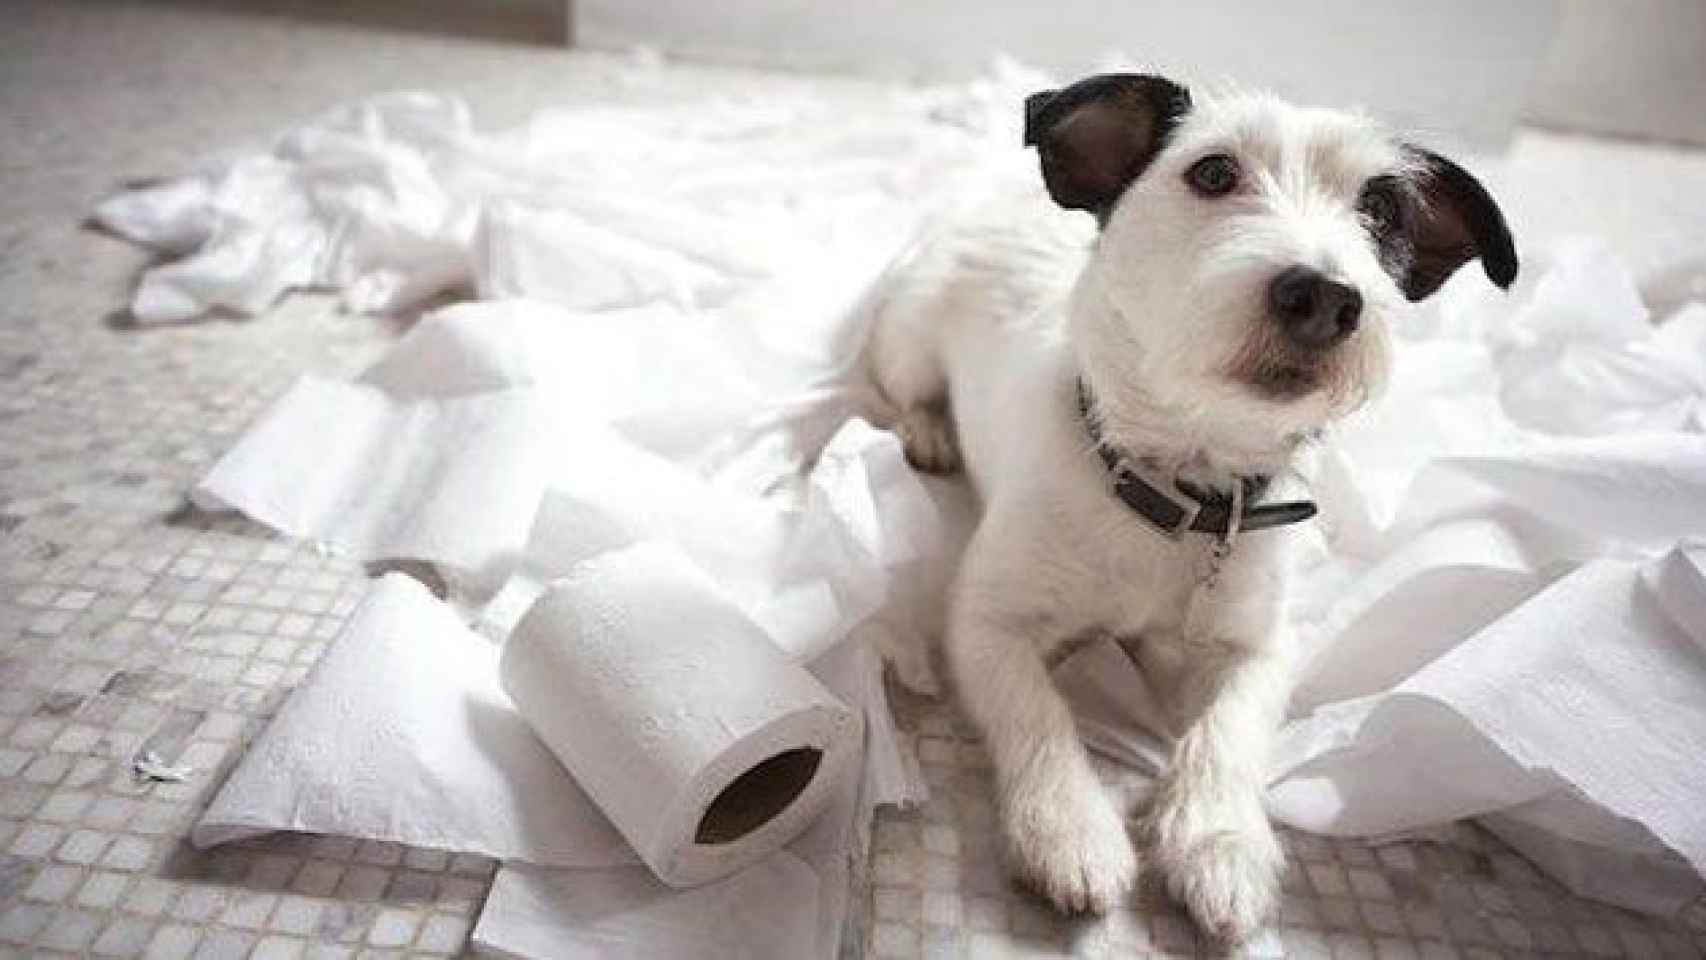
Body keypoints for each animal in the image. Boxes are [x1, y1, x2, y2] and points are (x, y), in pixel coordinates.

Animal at [873, 71, 1514, 941]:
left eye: (1382, 209)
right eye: (1213, 173)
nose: (1324, 297)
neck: (1178, 487)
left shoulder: (1259, 646)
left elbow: (1230, 729)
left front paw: (1219, 839)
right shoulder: (984, 624)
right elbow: (1037, 712)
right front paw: (1069, 827)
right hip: (905, 337)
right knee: (905, 389)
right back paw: (930, 429)